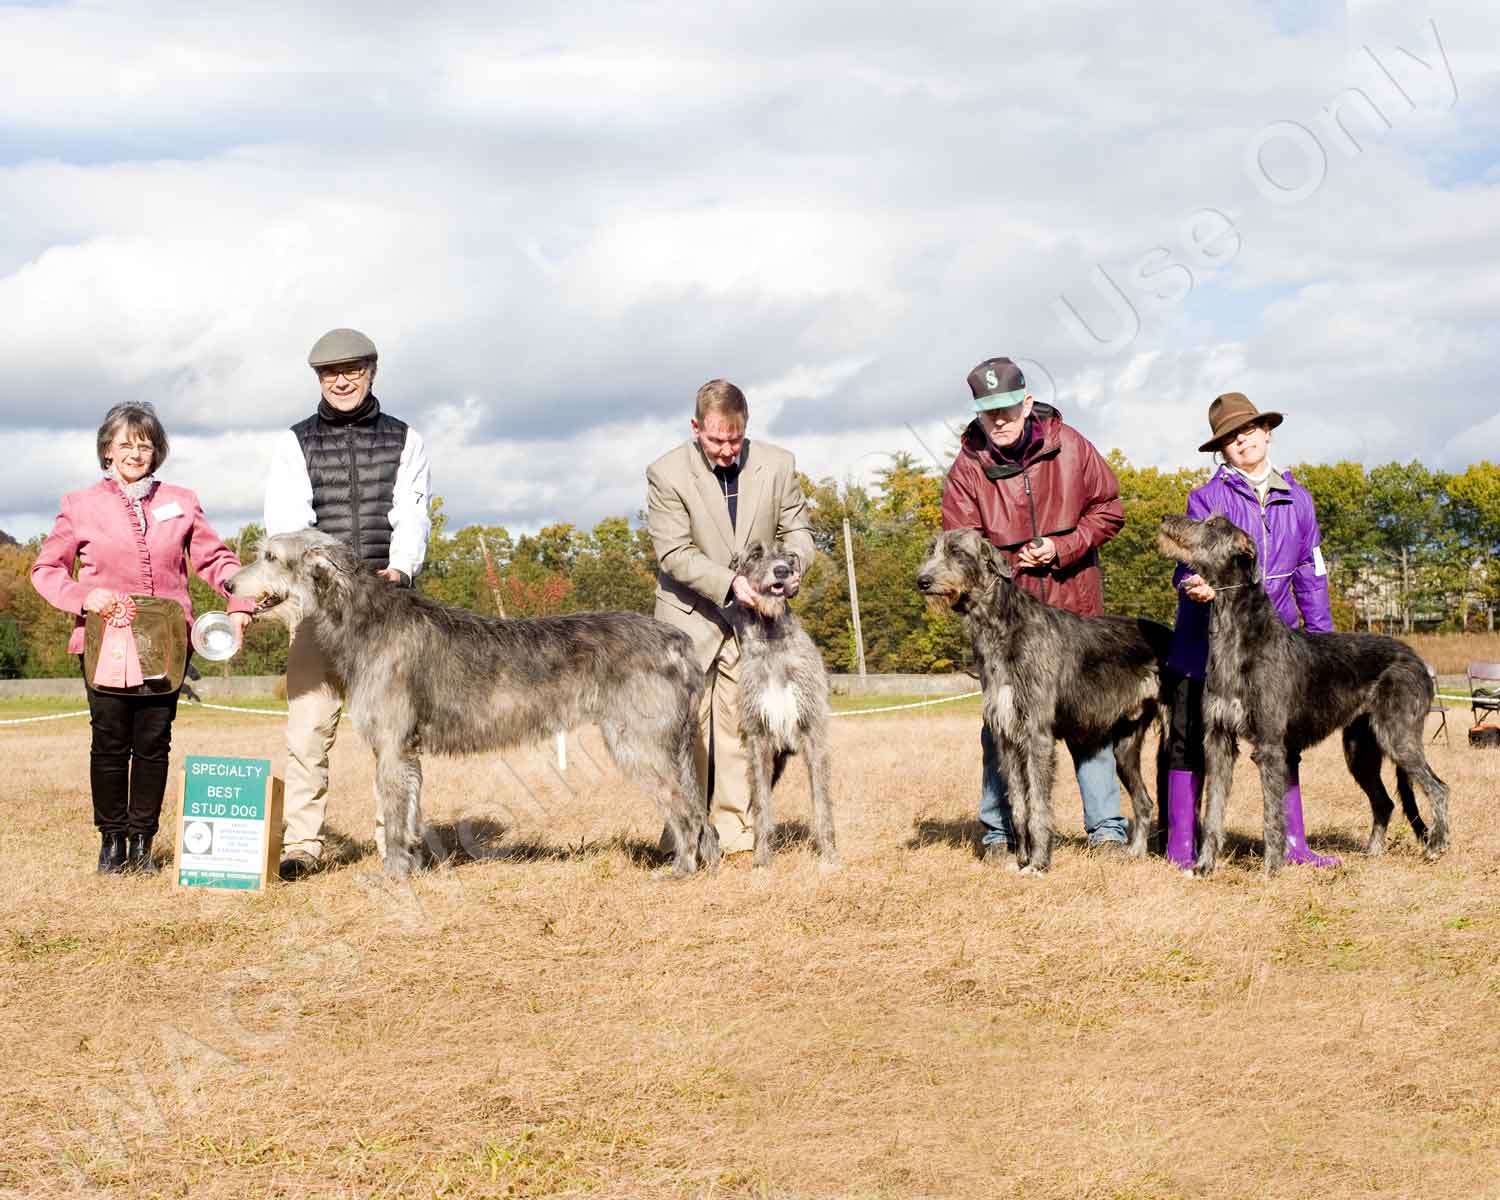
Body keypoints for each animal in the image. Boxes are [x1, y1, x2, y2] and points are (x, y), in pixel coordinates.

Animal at [225, 534, 717, 882]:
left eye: (270, 556)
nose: (228, 584)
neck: (367, 620)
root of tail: (678, 642)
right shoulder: (406, 753)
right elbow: (411, 811)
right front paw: (414, 868)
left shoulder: (391, 747)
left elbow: (395, 817)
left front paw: (391, 875)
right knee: (700, 810)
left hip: (639, 743)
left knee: (686, 810)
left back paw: (681, 870)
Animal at [723, 540, 840, 870]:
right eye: (755, 554)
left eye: (787, 555)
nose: (783, 571)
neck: (772, 637)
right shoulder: (758, 739)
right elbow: (762, 805)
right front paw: (762, 860)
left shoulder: (813, 733)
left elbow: (821, 802)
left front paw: (829, 857)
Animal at [912, 528, 1170, 870]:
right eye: (932, 551)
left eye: (957, 552)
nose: (922, 581)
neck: (1002, 627)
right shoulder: (1007, 736)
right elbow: (1019, 805)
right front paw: (1020, 858)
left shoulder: (1038, 735)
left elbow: (1037, 805)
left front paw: (1038, 862)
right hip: (1126, 744)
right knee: (1144, 801)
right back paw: (1135, 853)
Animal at [1158, 510, 1452, 876]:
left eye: (1213, 524)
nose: (1166, 518)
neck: (1239, 635)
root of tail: (1418, 660)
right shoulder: (1218, 739)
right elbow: (1213, 809)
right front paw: (1204, 866)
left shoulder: (1270, 745)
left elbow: (1272, 813)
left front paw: (1271, 869)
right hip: (1360, 748)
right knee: (1384, 801)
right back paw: (1372, 854)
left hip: (1398, 735)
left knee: (1439, 788)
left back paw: (1436, 846)